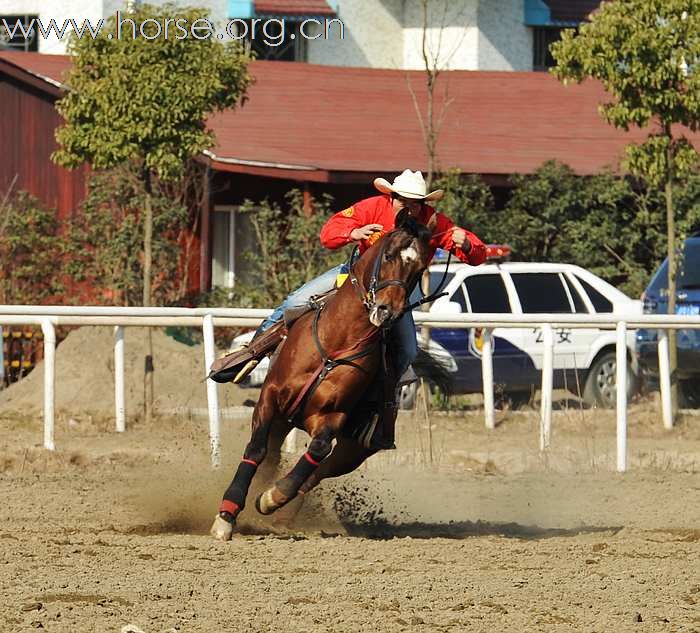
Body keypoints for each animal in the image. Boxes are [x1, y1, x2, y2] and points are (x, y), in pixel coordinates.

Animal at [211, 211, 434, 540]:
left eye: (418, 270)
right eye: (389, 255)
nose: (387, 311)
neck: (335, 343)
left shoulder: (332, 416)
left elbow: (316, 450)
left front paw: (270, 498)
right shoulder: (270, 398)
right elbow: (256, 448)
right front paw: (226, 515)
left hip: (355, 450)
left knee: (317, 472)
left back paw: (281, 511)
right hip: (284, 421)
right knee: (273, 456)